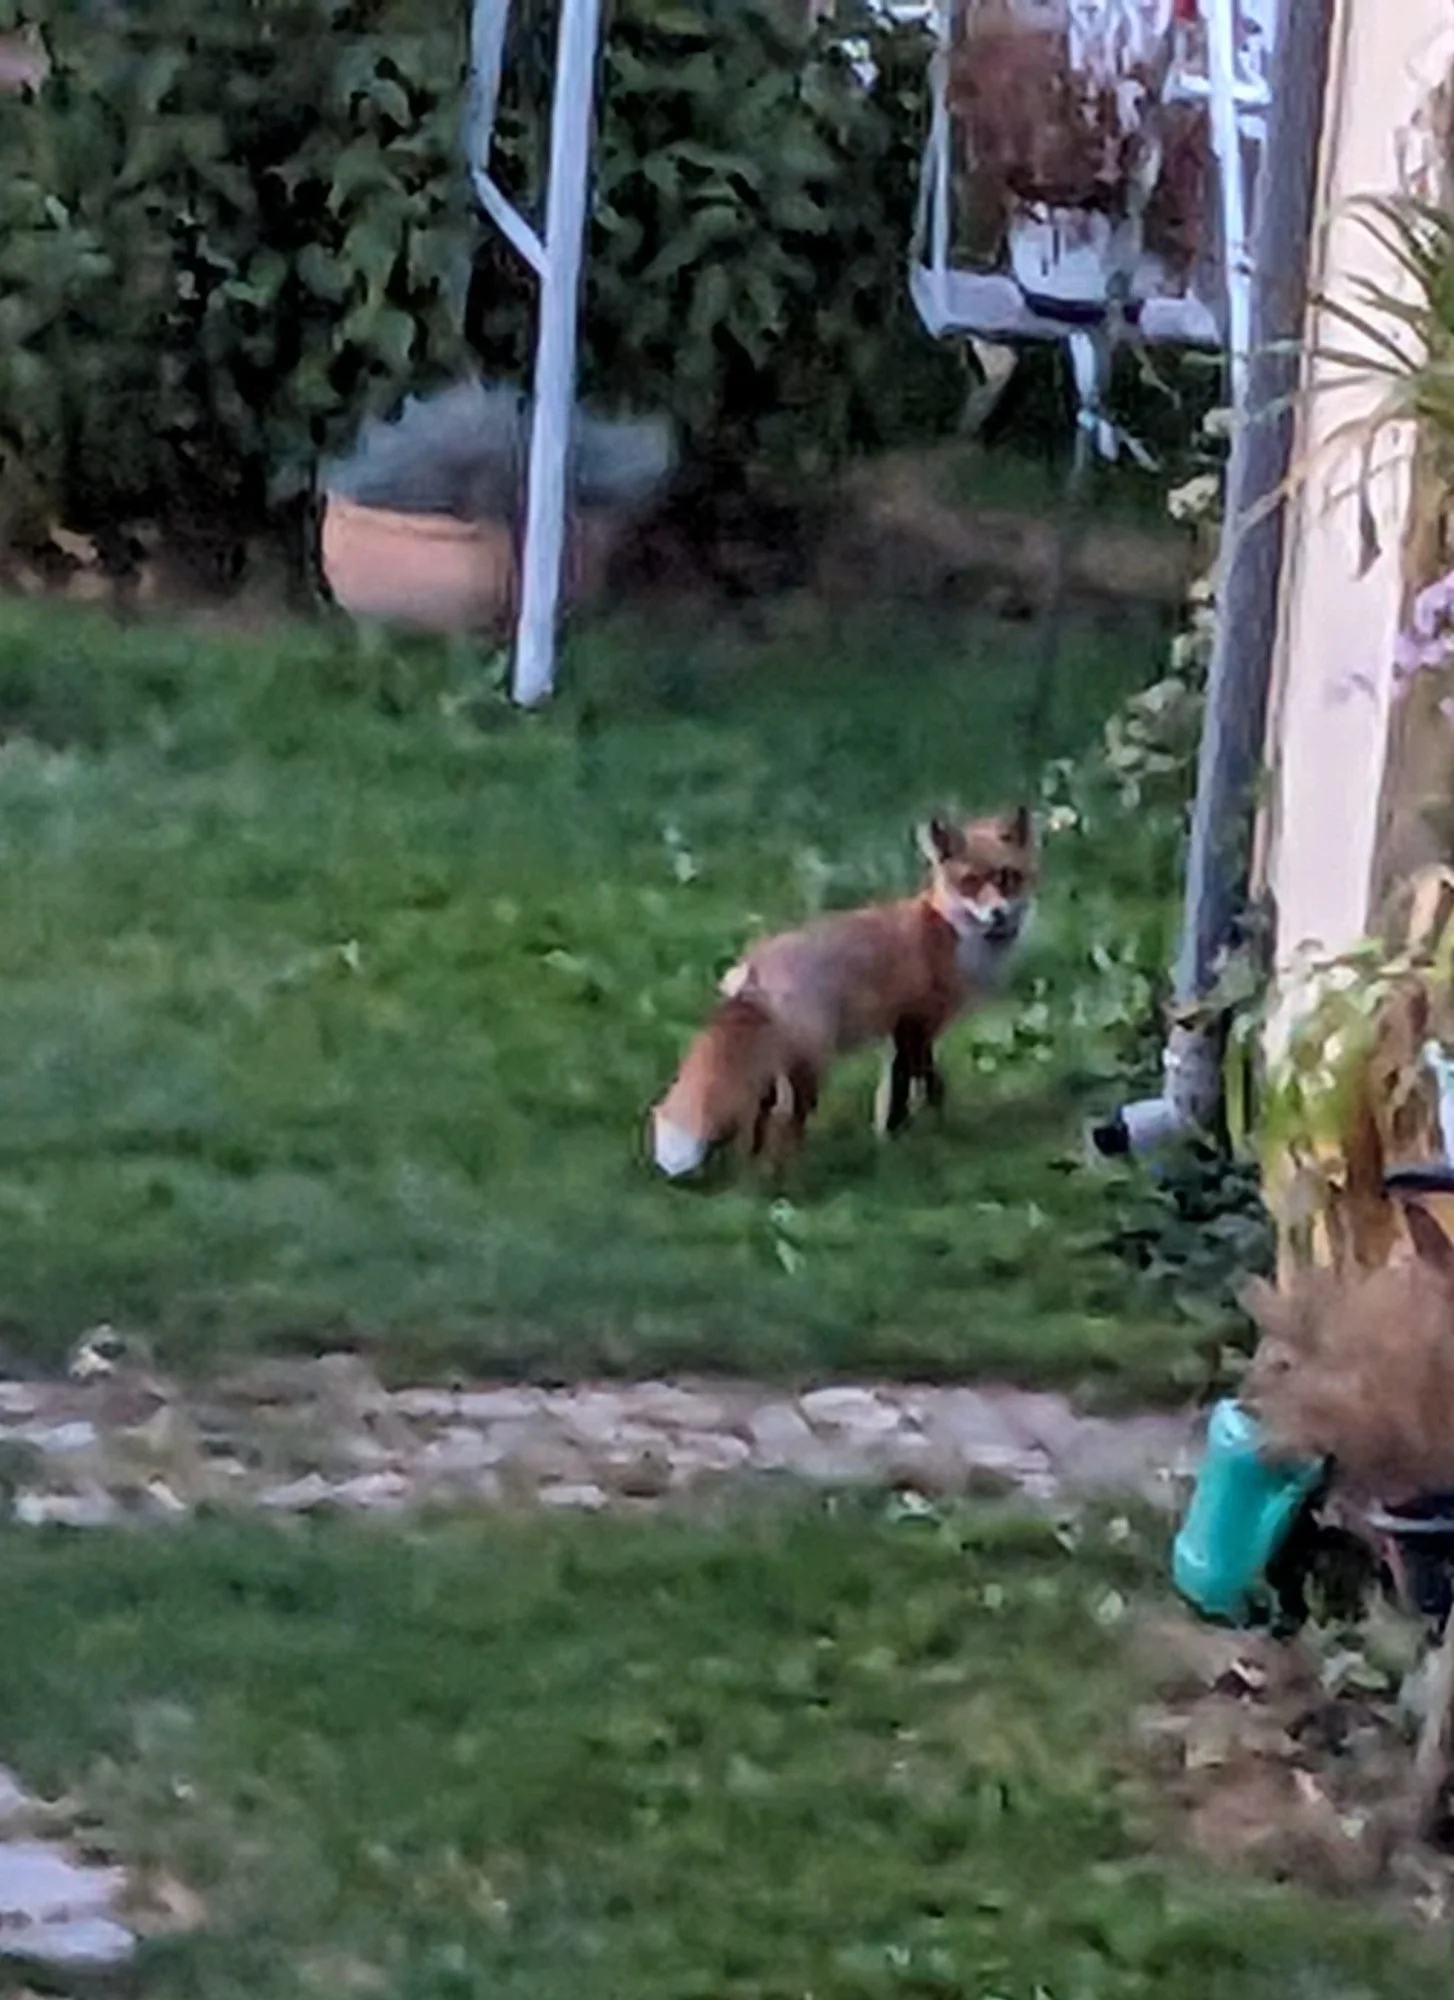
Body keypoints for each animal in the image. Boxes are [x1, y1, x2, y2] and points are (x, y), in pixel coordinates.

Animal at [649, 805, 1037, 1179]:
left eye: (1007, 878)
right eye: (970, 882)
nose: (998, 914)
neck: (949, 932)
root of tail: (752, 964)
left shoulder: (899, 1033)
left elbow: (895, 1092)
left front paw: (892, 1140)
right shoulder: (916, 1023)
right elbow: (929, 1084)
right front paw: (935, 1129)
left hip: (775, 1063)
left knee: (760, 1111)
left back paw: (750, 1168)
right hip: (810, 1065)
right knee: (785, 1121)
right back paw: (787, 1175)